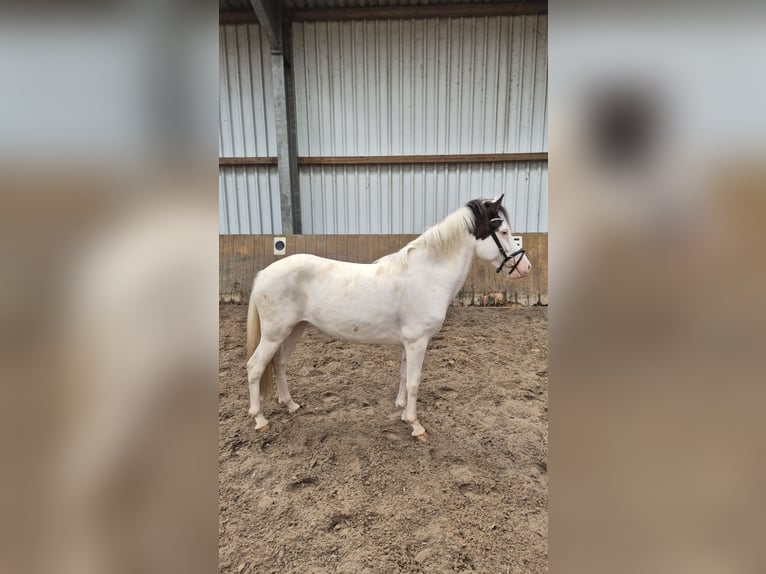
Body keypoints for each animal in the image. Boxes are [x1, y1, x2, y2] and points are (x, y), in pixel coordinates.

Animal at [248, 196, 536, 444]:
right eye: (504, 232)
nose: (526, 268)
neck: (428, 274)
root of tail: (263, 274)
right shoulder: (418, 342)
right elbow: (414, 382)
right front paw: (416, 426)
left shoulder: (409, 343)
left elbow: (403, 375)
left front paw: (402, 411)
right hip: (274, 334)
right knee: (255, 367)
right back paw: (260, 420)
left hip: (294, 329)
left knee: (280, 364)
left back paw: (291, 405)